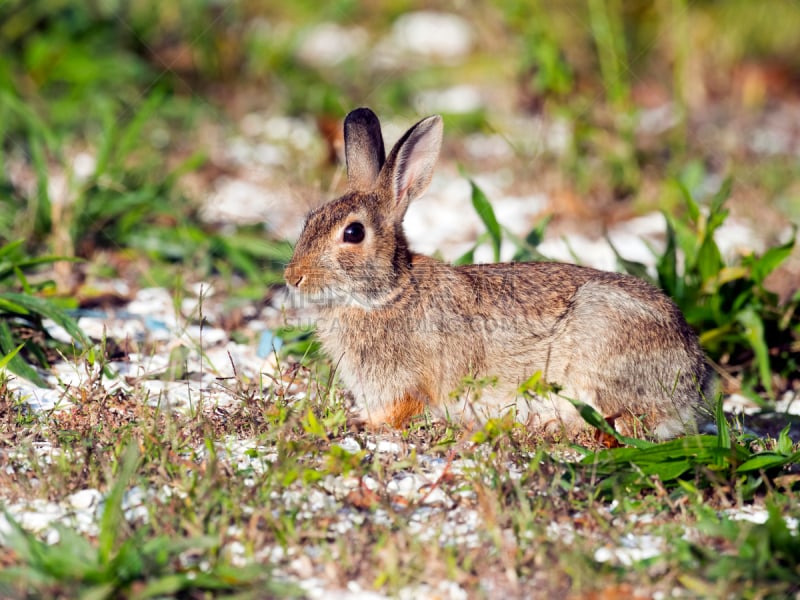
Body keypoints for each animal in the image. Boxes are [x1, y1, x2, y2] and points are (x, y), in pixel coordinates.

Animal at [282, 108, 712, 438]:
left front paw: (363, 424)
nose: (292, 277)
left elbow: (401, 410)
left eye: (353, 233)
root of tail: (691, 380)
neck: (387, 293)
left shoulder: (408, 385)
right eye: (310, 219)